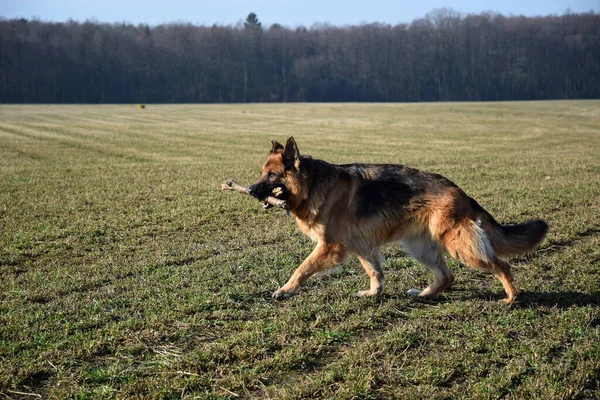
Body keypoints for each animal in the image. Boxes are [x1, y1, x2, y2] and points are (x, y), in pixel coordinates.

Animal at [246, 138, 548, 304]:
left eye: (271, 175)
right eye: (261, 173)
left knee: (501, 264)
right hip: (419, 247)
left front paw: (285, 290)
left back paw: (511, 298)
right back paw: (425, 294)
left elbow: (302, 268)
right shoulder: (363, 247)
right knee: (447, 276)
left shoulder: (329, 247)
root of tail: (459, 191)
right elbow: (375, 272)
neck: (312, 184)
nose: (249, 190)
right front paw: (374, 293)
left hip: (458, 246)